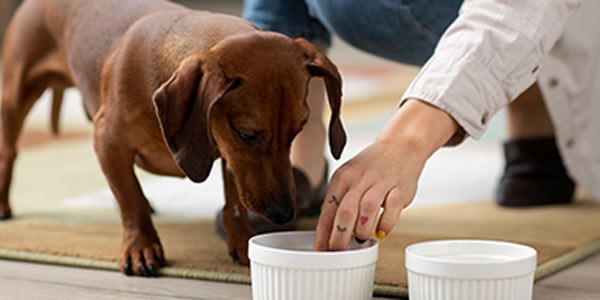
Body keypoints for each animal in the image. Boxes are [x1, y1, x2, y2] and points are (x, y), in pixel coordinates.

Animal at [0, 0, 346, 276]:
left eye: (297, 130)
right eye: (246, 134)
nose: (284, 214)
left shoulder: (227, 155)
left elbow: (233, 202)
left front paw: (241, 241)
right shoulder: (107, 141)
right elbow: (131, 198)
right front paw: (141, 247)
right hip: (15, 94)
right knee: (10, 153)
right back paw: (3, 204)